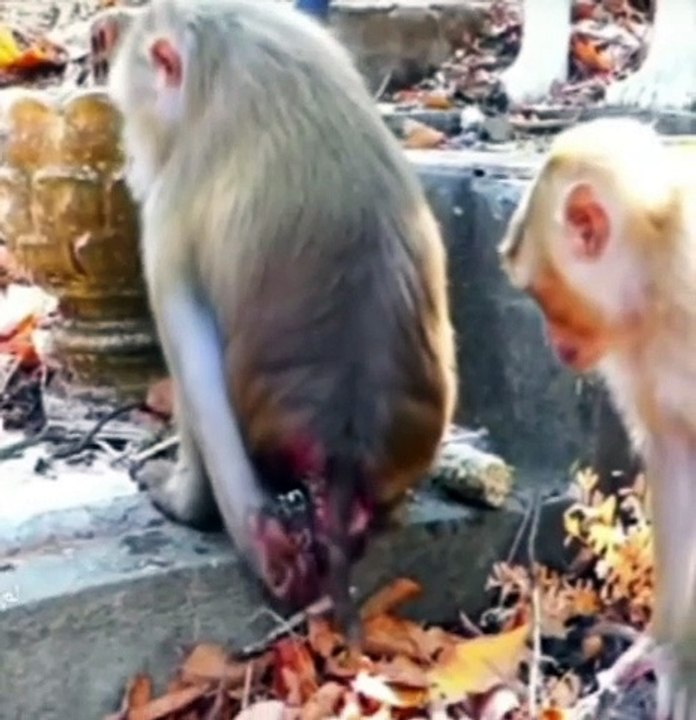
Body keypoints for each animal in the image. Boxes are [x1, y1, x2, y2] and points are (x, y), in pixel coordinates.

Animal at [105, 0, 457, 638]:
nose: (128, 153)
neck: (228, 56)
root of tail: (343, 444)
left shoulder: (166, 212)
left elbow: (193, 360)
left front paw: (198, 508)